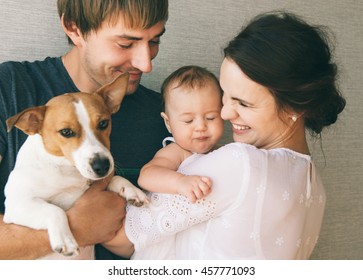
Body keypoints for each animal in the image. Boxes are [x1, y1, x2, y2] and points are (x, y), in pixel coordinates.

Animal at [2, 72, 148, 260]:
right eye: (66, 132)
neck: (67, 169)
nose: (102, 166)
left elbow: (115, 178)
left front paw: (131, 190)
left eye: (103, 123)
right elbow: (54, 210)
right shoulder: (17, 204)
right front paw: (65, 239)